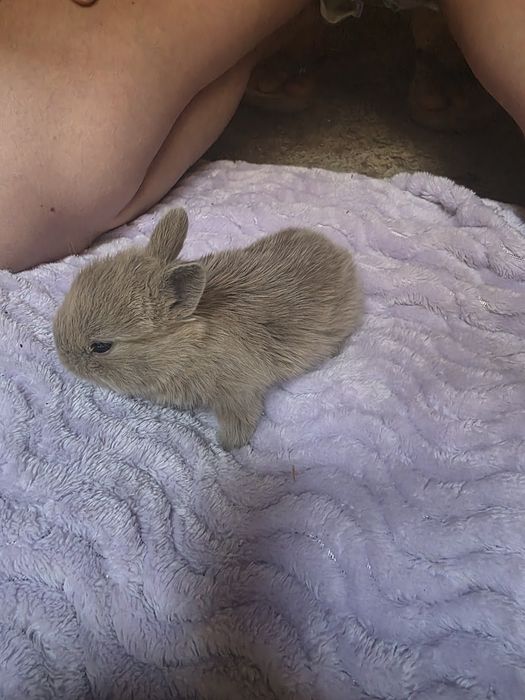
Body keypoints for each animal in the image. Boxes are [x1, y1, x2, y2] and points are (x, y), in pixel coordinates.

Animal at [53, 208, 361, 450]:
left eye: (101, 346)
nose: (62, 357)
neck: (189, 346)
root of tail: (342, 255)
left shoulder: (237, 390)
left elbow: (242, 417)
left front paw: (227, 445)